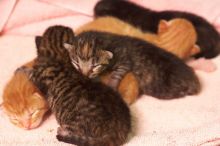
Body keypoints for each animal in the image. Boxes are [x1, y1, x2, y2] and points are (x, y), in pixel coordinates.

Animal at [64, 30, 200, 99]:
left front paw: (111, 86)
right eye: (76, 63)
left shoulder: (125, 61)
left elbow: (116, 74)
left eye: (95, 66)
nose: (84, 74)